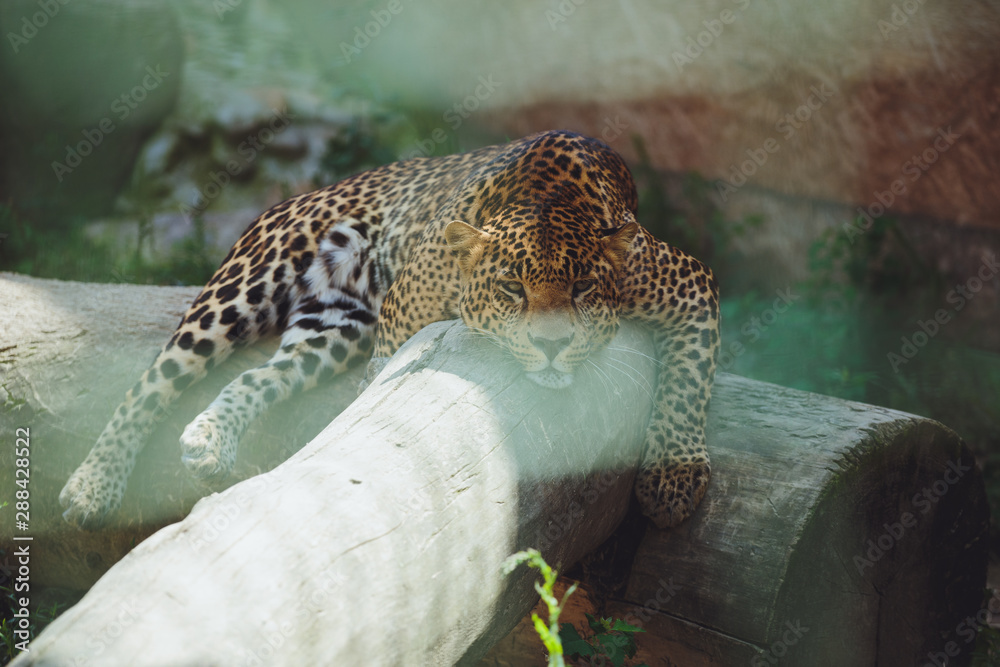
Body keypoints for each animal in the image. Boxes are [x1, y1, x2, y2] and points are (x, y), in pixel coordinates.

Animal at [60, 129, 720, 532]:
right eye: (512, 289)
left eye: (583, 289)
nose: (552, 346)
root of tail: (317, 189)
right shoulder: (399, 321)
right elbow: (381, 388)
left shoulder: (691, 284)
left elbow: (689, 384)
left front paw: (673, 482)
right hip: (242, 287)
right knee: (152, 382)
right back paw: (92, 485)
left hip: (331, 328)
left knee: (259, 377)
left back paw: (210, 438)